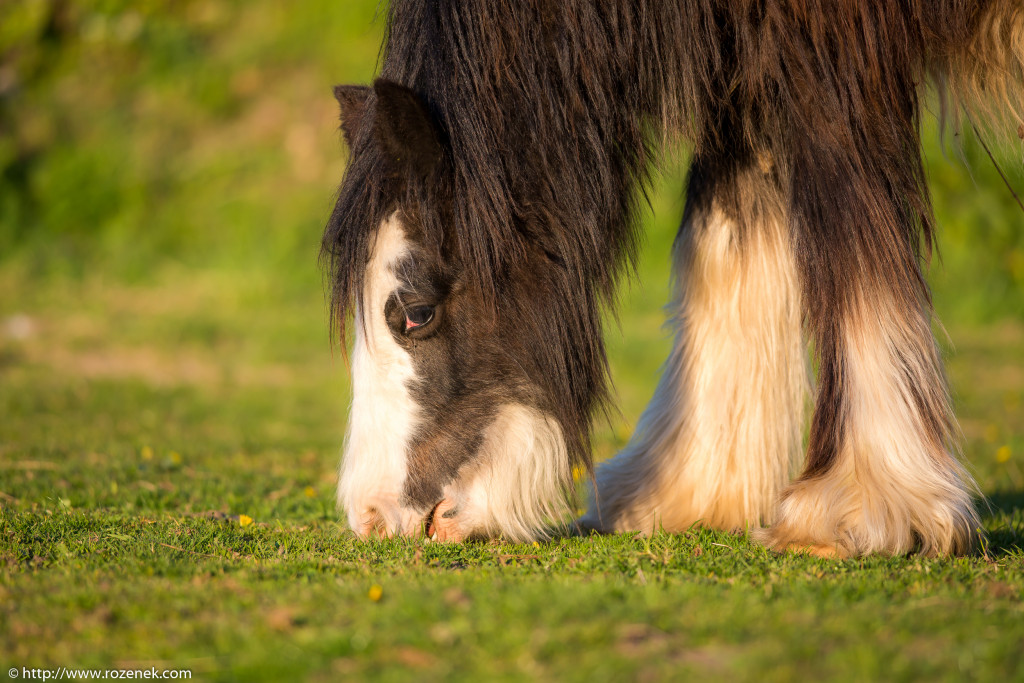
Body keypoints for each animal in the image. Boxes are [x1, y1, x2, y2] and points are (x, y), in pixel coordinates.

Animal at [321, 0, 1024, 557]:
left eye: (415, 312)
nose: (373, 516)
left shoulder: (833, 46)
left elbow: (850, 229)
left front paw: (858, 508)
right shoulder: (745, 54)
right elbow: (723, 232)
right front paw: (689, 487)